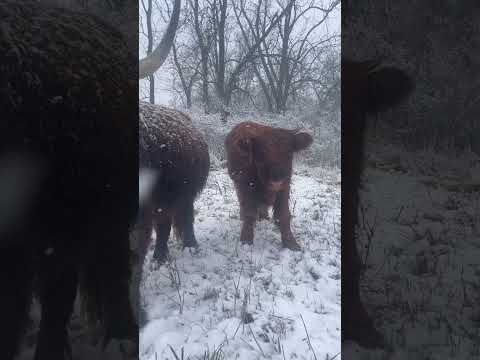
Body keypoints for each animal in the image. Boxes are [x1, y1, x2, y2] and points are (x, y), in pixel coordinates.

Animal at [224, 121, 312, 250]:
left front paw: (291, 243)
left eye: (289, 153)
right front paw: (246, 240)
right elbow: (249, 213)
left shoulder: (284, 188)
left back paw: (264, 217)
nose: (277, 181)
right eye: (262, 154)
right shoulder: (245, 186)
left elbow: (283, 214)